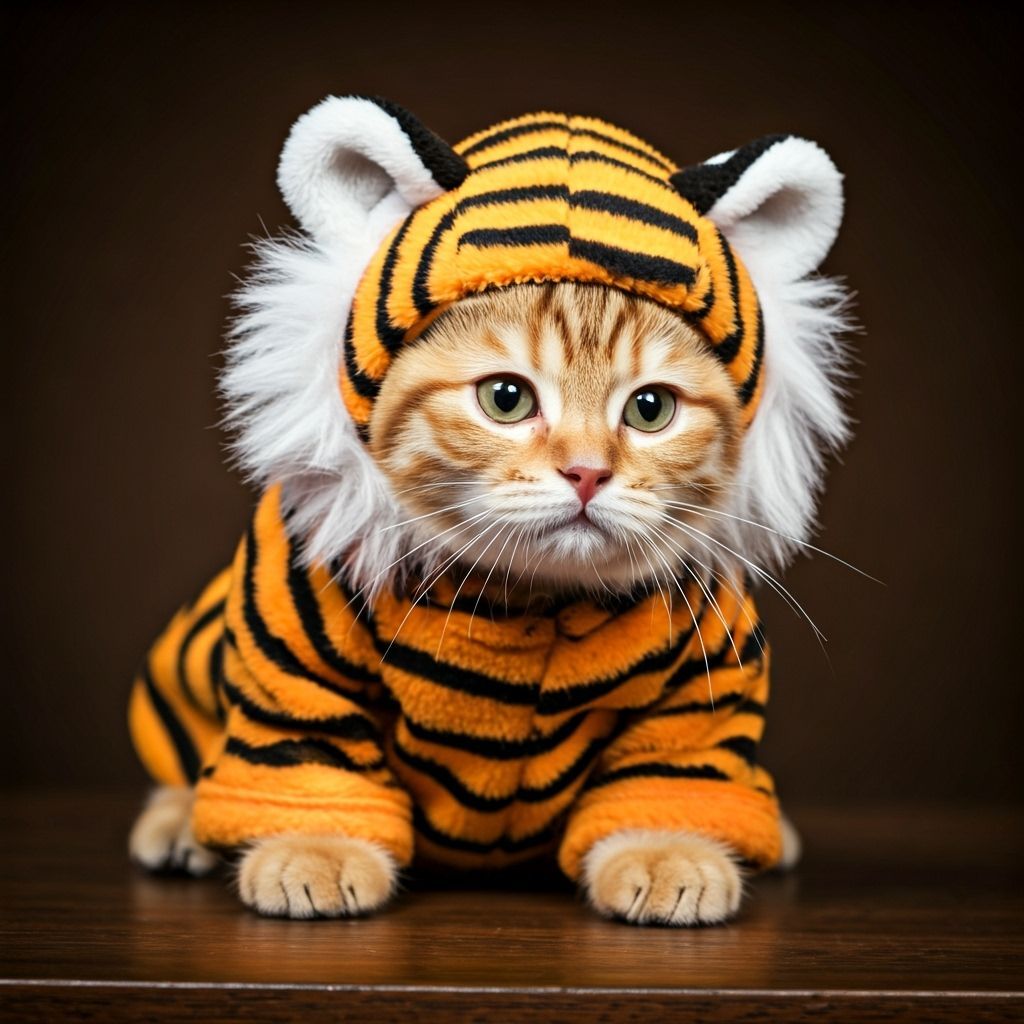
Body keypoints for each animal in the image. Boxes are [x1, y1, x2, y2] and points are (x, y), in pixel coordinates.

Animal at [127, 96, 853, 925]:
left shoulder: (706, 677)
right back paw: (178, 821)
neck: (528, 599)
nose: (587, 472)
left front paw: (670, 848)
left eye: (651, 409)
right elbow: (309, 755)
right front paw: (316, 846)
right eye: (506, 398)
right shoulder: (295, 644)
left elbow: (673, 775)